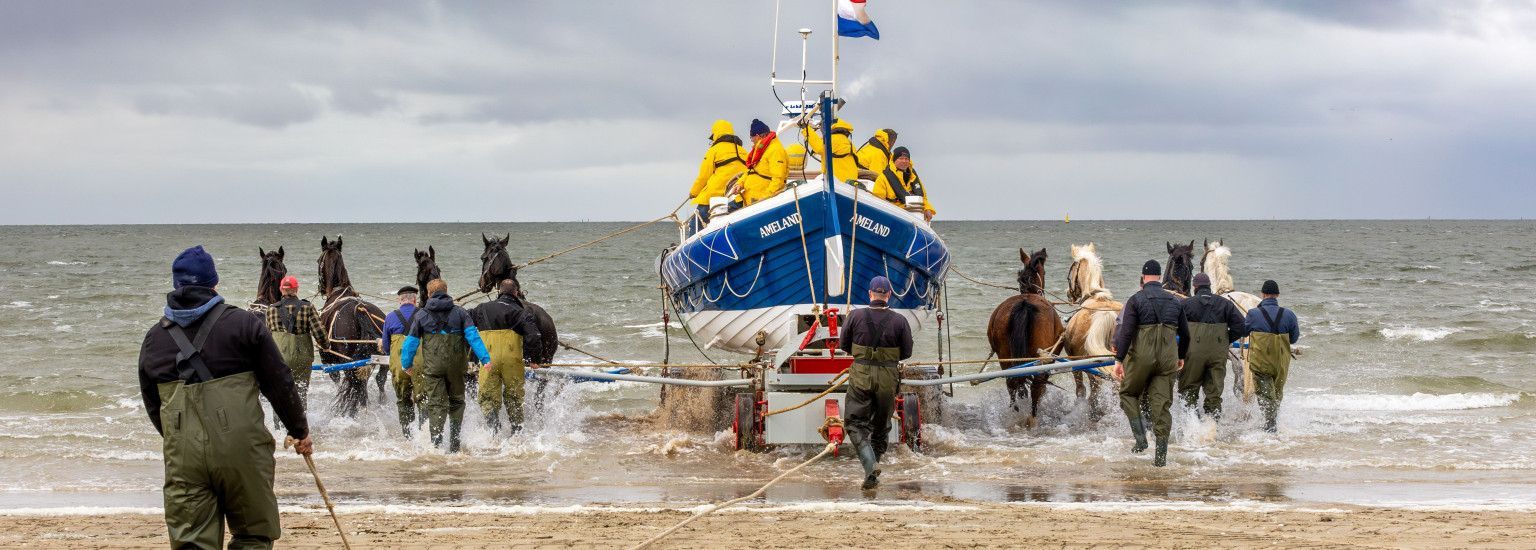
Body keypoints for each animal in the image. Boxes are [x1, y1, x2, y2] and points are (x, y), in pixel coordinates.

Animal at [316, 235, 387, 417]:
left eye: (318, 260)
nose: (321, 288)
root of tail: (360, 311)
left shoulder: (328, 360)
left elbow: (337, 381)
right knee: (380, 380)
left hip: (347, 361)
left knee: (353, 383)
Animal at [983, 248, 1069, 430]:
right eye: (1045, 272)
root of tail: (1024, 304)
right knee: (1037, 386)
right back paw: (1032, 417)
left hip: (1005, 356)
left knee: (1012, 383)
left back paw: (1015, 412)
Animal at [1062, 241, 1124, 417]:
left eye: (1071, 270)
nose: (1069, 294)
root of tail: (1106, 313)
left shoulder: (1075, 364)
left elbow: (1081, 390)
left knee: (1095, 389)